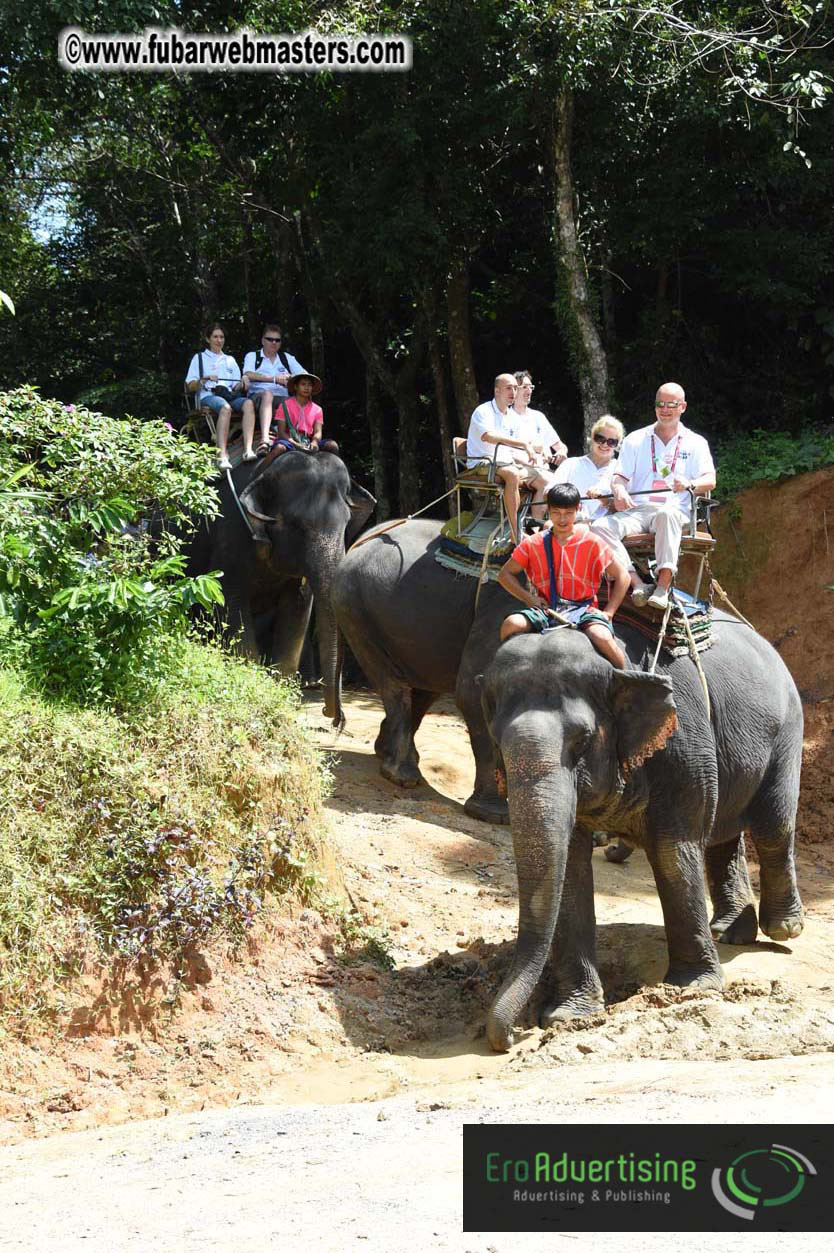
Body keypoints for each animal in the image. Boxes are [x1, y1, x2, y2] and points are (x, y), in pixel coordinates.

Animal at [187, 451, 375, 724]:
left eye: (347, 523)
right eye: (297, 525)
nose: (334, 716)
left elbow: (296, 613)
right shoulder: (228, 538)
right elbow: (232, 606)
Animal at [331, 517, 521, 823]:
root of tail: (364, 537)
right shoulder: (503, 609)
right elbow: (472, 692)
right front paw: (493, 816)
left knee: (425, 686)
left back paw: (388, 753)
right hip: (355, 607)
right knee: (396, 685)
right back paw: (403, 775)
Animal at [479, 614, 805, 1052]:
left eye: (583, 741)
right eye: (497, 742)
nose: (512, 1036)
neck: (618, 667)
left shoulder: (685, 743)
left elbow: (673, 852)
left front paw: (693, 989)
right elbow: (572, 867)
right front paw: (571, 1015)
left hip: (786, 733)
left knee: (773, 824)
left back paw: (782, 928)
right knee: (724, 836)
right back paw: (731, 934)